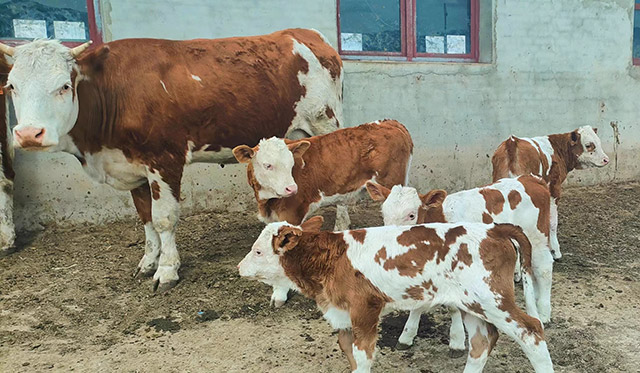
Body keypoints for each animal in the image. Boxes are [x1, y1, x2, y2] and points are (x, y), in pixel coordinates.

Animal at [0, 29, 342, 290]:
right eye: (12, 86)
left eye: (64, 86)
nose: (29, 134)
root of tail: (305, 34)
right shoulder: (133, 167)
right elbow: (146, 217)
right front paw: (148, 261)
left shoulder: (164, 159)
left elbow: (164, 217)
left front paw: (167, 270)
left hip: (326, 121)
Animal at [238, 218, 552, 372]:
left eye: (258, 251)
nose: (240, 267)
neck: (332, 258)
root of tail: (494, 229)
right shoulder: (343, 317)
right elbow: (349, 354)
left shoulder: (365, 309)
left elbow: (362, 357)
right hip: (469, 303)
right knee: (481, 342)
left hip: (492, 299)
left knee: (531, 331)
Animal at [368, 174, 556, 352]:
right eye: (384, 214)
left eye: (411, 215)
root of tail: (530, 179)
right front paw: (407, 336)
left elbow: (453, 306)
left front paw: (457, 340)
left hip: (536, 237)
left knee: (544, 268)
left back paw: (544, 313)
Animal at [492, 125, 608, 258]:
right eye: (589, 145)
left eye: (598, 142)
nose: (606, 159)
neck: (558, 149)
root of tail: (511, 143)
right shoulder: (554, 190)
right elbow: (552, 221)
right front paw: (555, 251)